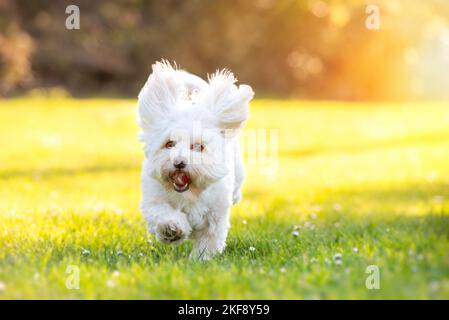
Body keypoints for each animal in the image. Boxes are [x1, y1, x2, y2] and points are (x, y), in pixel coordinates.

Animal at [136, 60, 252, 260]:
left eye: (198, 146)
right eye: (169, 144)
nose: (179, 162)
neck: (190, 193)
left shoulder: (215, 216)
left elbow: (208, 241)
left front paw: (201, 260)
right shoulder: (153, 201)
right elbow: (162, 214)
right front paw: (172, 228)